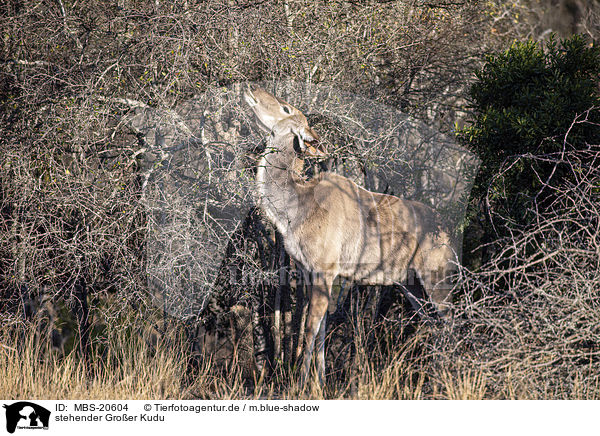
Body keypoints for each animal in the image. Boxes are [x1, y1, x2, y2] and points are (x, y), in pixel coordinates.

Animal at [244, 86, 454, 384]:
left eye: (286, 108)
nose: (254, 90)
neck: (297, 206)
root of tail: (448, 232)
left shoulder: (325, 271)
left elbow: (311, 327)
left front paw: (302, 383)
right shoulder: (311, 273)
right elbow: (321, 328)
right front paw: (320, 382)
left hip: (437, 280)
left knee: (450, 322)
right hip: (411, 285)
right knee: (433, 324)